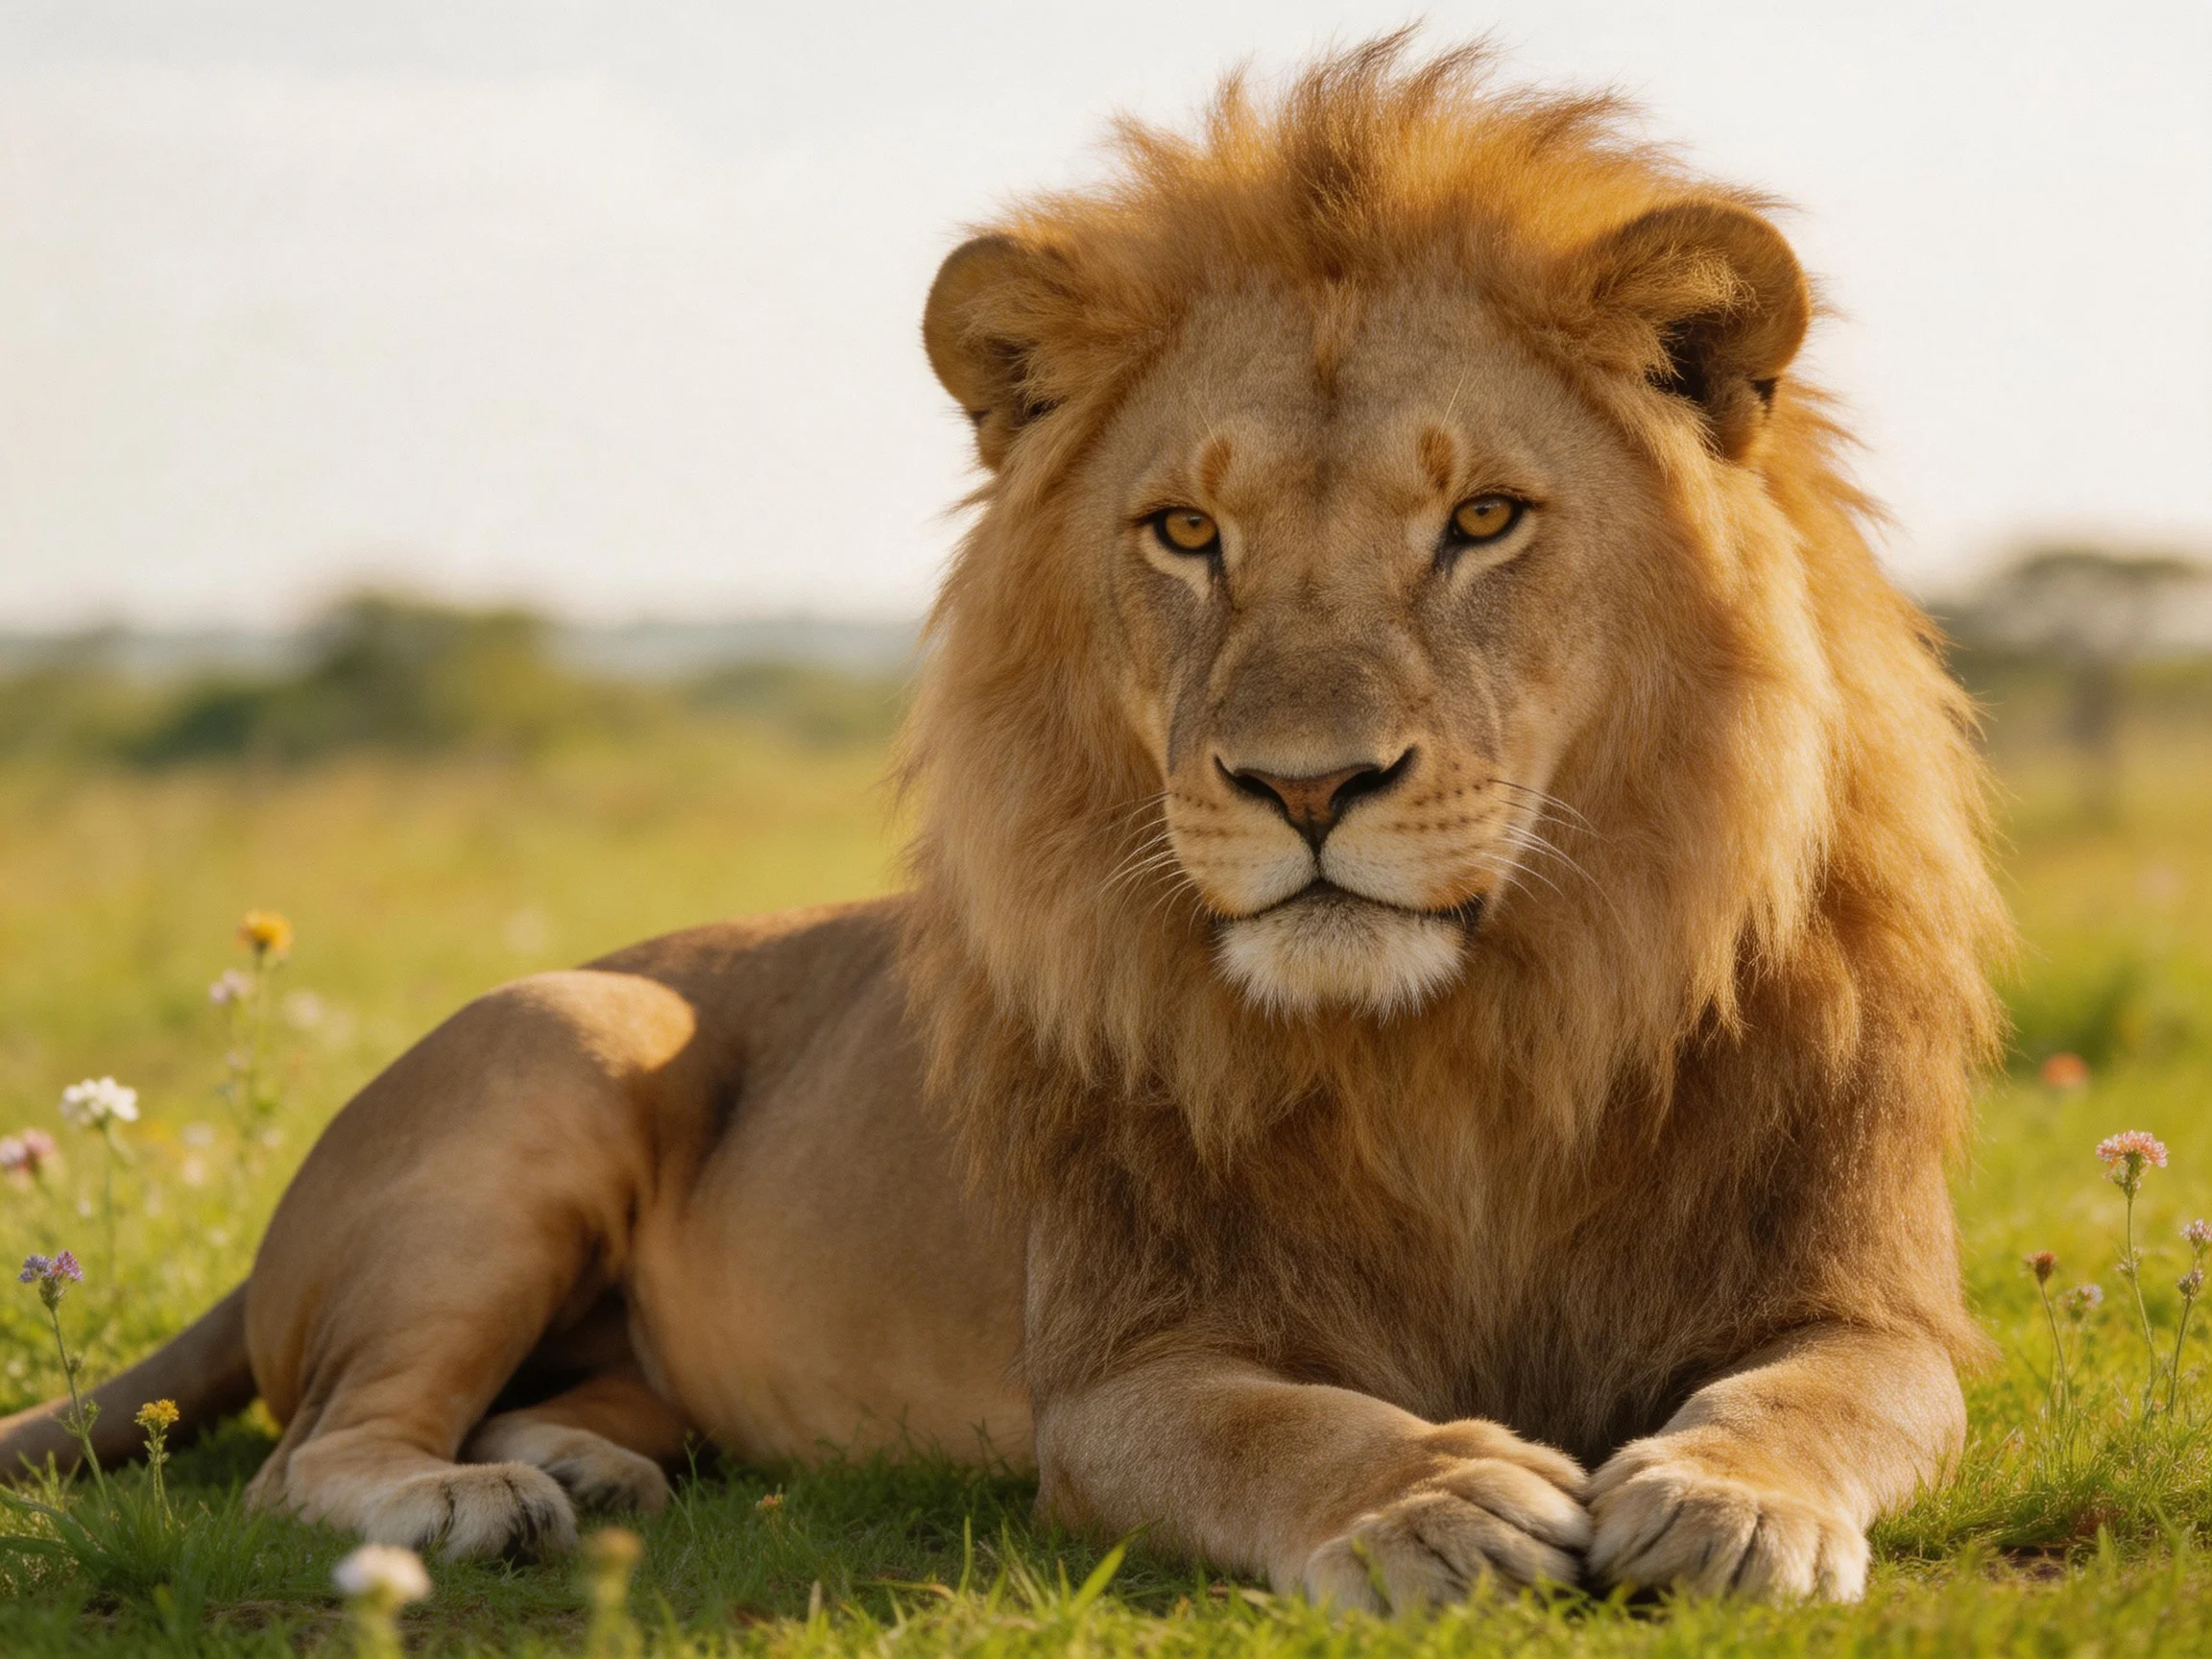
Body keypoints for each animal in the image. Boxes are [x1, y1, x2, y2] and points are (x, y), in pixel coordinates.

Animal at [0, 40, 2007, 1607]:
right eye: (1185, 534)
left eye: (1484, 521)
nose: (1302, 785)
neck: (1468, 1044)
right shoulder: (1121, 1368)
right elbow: (1275, 1424)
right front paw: (1432, 1492)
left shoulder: (1871, 1300)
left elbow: (1818, 1394)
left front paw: (1727, 1497)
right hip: (565, 1033)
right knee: (308, 1450)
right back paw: (471, 1500)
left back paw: (579, 1467)